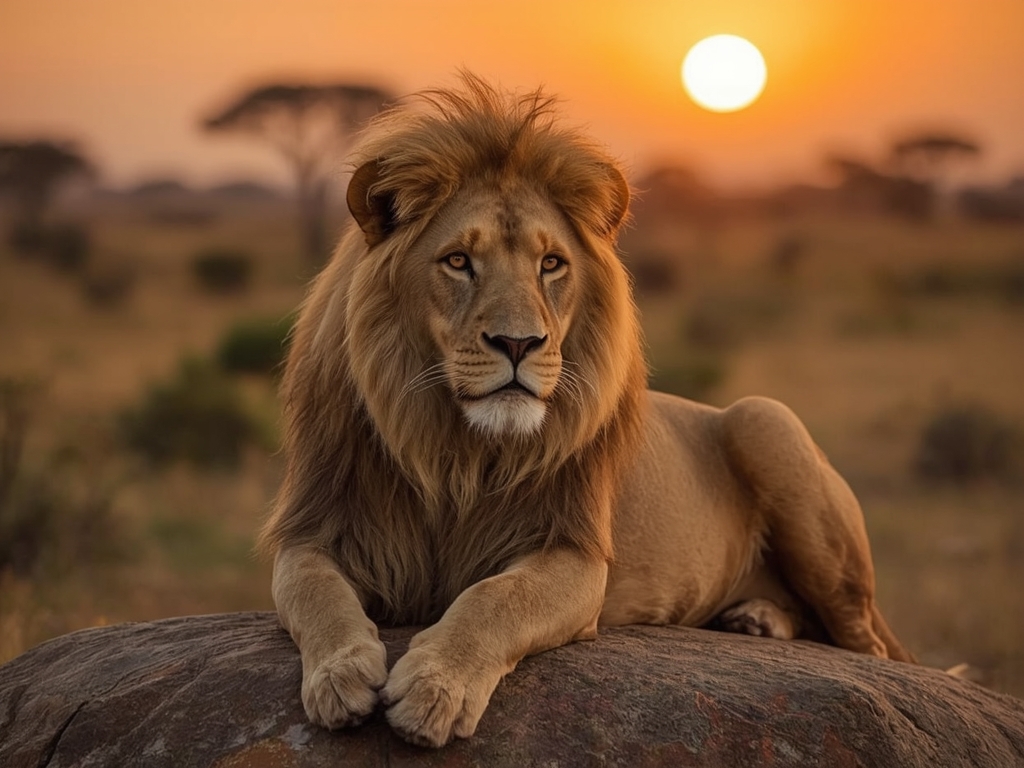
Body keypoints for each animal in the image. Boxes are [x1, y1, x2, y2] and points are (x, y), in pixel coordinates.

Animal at [259, 74, 914, 748]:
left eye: (551, 264)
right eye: (459, 261)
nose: (518, 344)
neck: (455, 448)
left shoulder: (575, 555)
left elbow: (496, 599)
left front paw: (435, 689)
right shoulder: (314, 529)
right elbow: (315, 592)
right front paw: (339, 676)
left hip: (767, 422)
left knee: (868, 650)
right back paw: (754, 617)